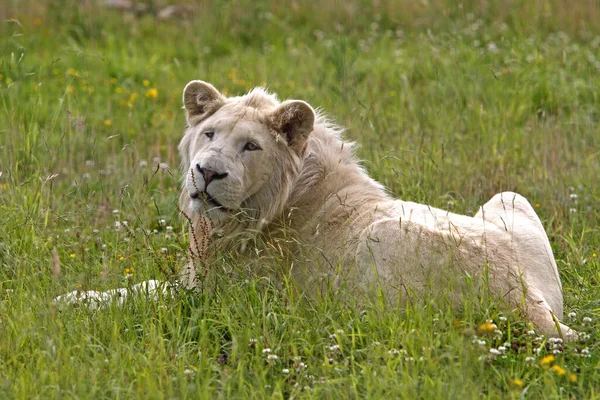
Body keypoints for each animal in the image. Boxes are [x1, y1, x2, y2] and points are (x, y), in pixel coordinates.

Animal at [56, 80, 576, 340]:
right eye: (209, 134)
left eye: (250, 146)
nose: (207, 173)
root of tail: (534, 308)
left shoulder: (217, 296)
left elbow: (142, 292)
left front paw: (72, 301)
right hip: (509, 197)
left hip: (383, 236)